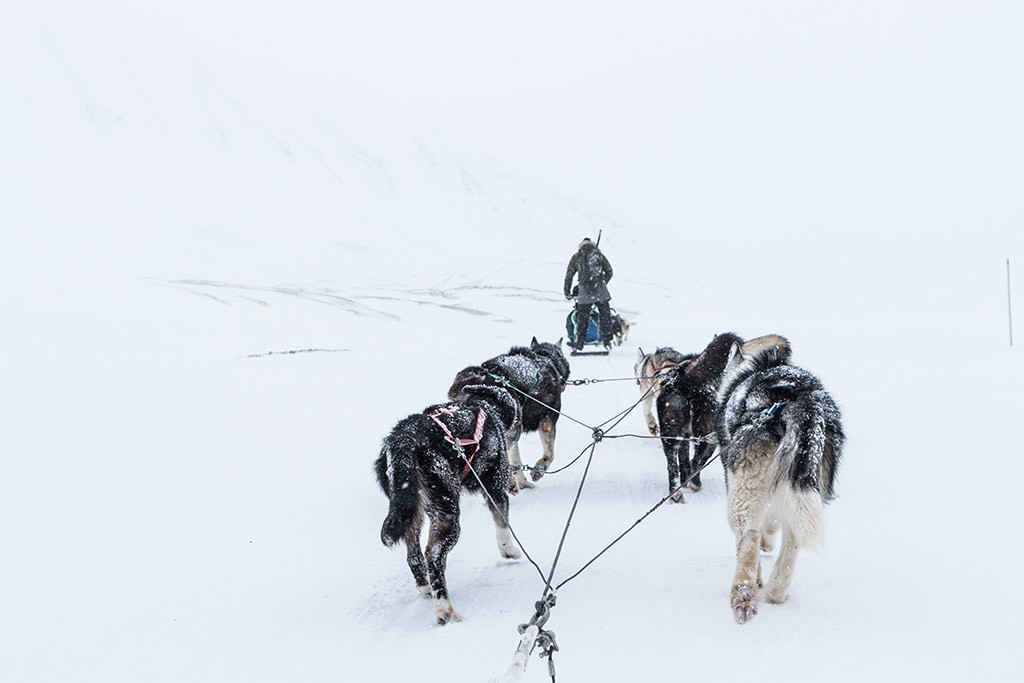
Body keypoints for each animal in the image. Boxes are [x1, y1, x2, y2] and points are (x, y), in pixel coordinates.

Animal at [374, 385, 524, 626]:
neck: (485, 405)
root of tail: (404, 439)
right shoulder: (495, 489)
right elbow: (502, 524)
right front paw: (509, 550)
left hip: (410, 509)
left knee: (414, 555)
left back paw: (426, 588)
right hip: (448, 514)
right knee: (433, 556)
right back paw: (445, 609)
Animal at [450, 337, 573, 491]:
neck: (545, 357)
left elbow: (516, 460)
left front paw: (523, 482)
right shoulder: (548, 420)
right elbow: (549, 453)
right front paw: (539, 469)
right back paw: (510, 482)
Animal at [716, 335, 843, 626]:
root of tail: (798, 396)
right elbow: (774, 518)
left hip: (742, 495)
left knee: (748, 538)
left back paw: (745, 593)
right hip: (808, 484)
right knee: (792, 543)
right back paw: (775, 591)